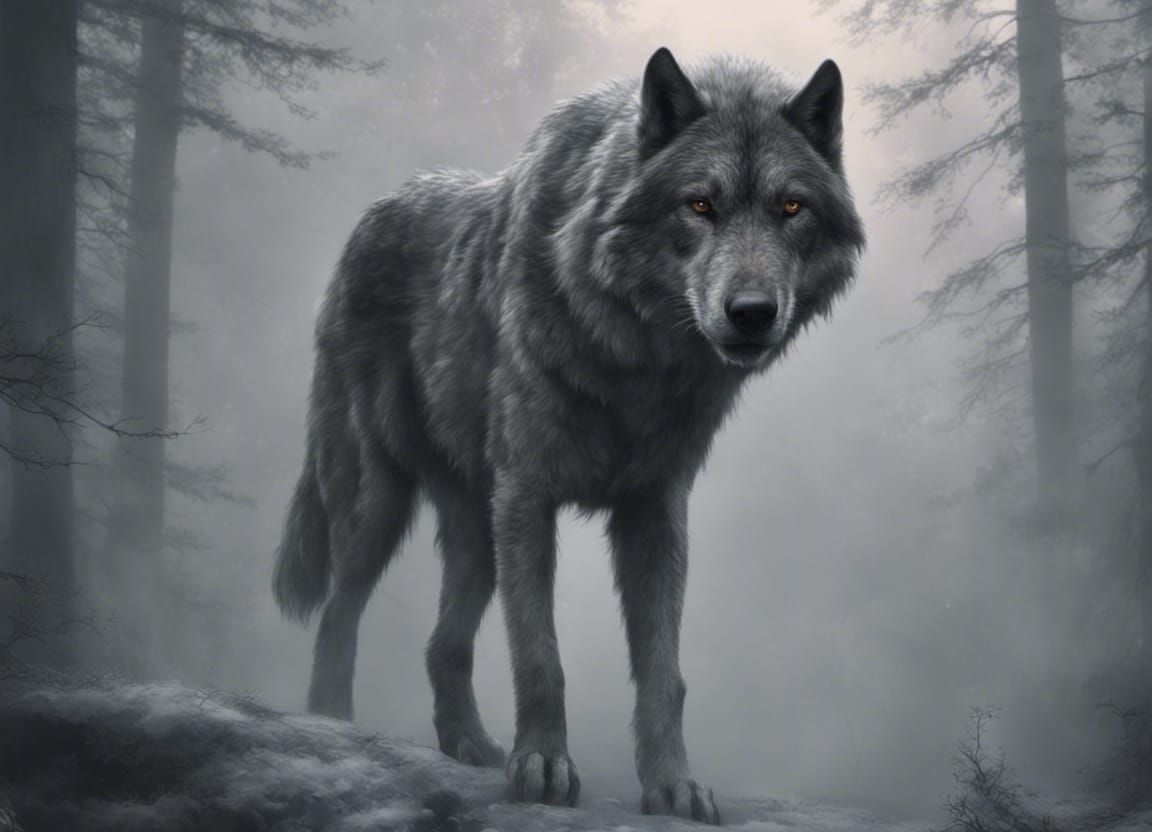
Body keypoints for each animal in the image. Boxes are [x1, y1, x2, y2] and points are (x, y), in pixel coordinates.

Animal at [273, 48, 864, 824]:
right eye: (699, 205)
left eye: (791, 207)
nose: (752, 312)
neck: (635, 360)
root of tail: (370, 215)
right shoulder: (528, 496)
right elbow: (540, 658)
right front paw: (544, 767)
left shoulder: (655, 510)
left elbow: (663, 674)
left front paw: (672, 785)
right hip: (381, 499)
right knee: (339, 613)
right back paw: (331, 723)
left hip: (477, 532)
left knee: (441, 644)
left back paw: (467, 743)